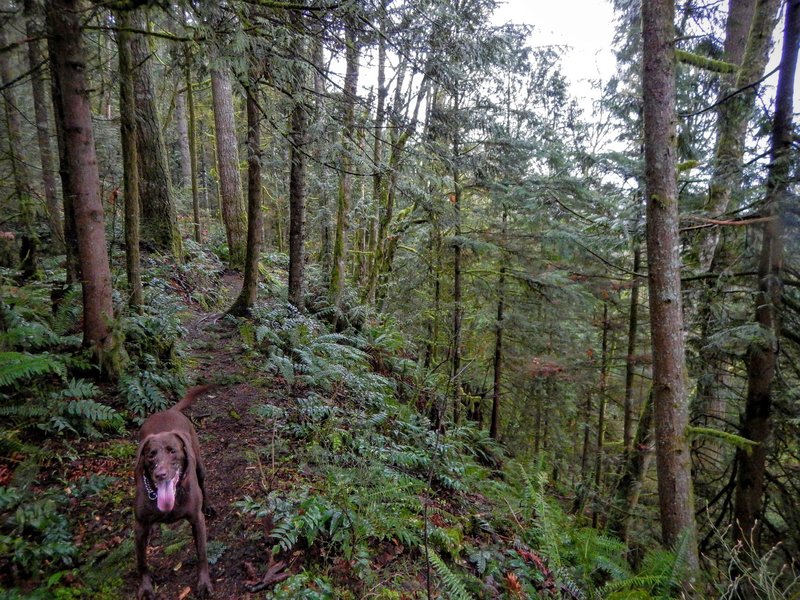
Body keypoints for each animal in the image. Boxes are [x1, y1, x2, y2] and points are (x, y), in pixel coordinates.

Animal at [134, 386, 216, 596]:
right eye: (151, 454)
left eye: (172, 451)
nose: (160, 474)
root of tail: (168, 410)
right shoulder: (139, 526)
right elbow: (142, 562)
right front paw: (145, 588)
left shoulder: (196, 519)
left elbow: (202, 554)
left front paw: (204, 583)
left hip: (200, 466)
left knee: (203, 483)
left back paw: (208, 506)